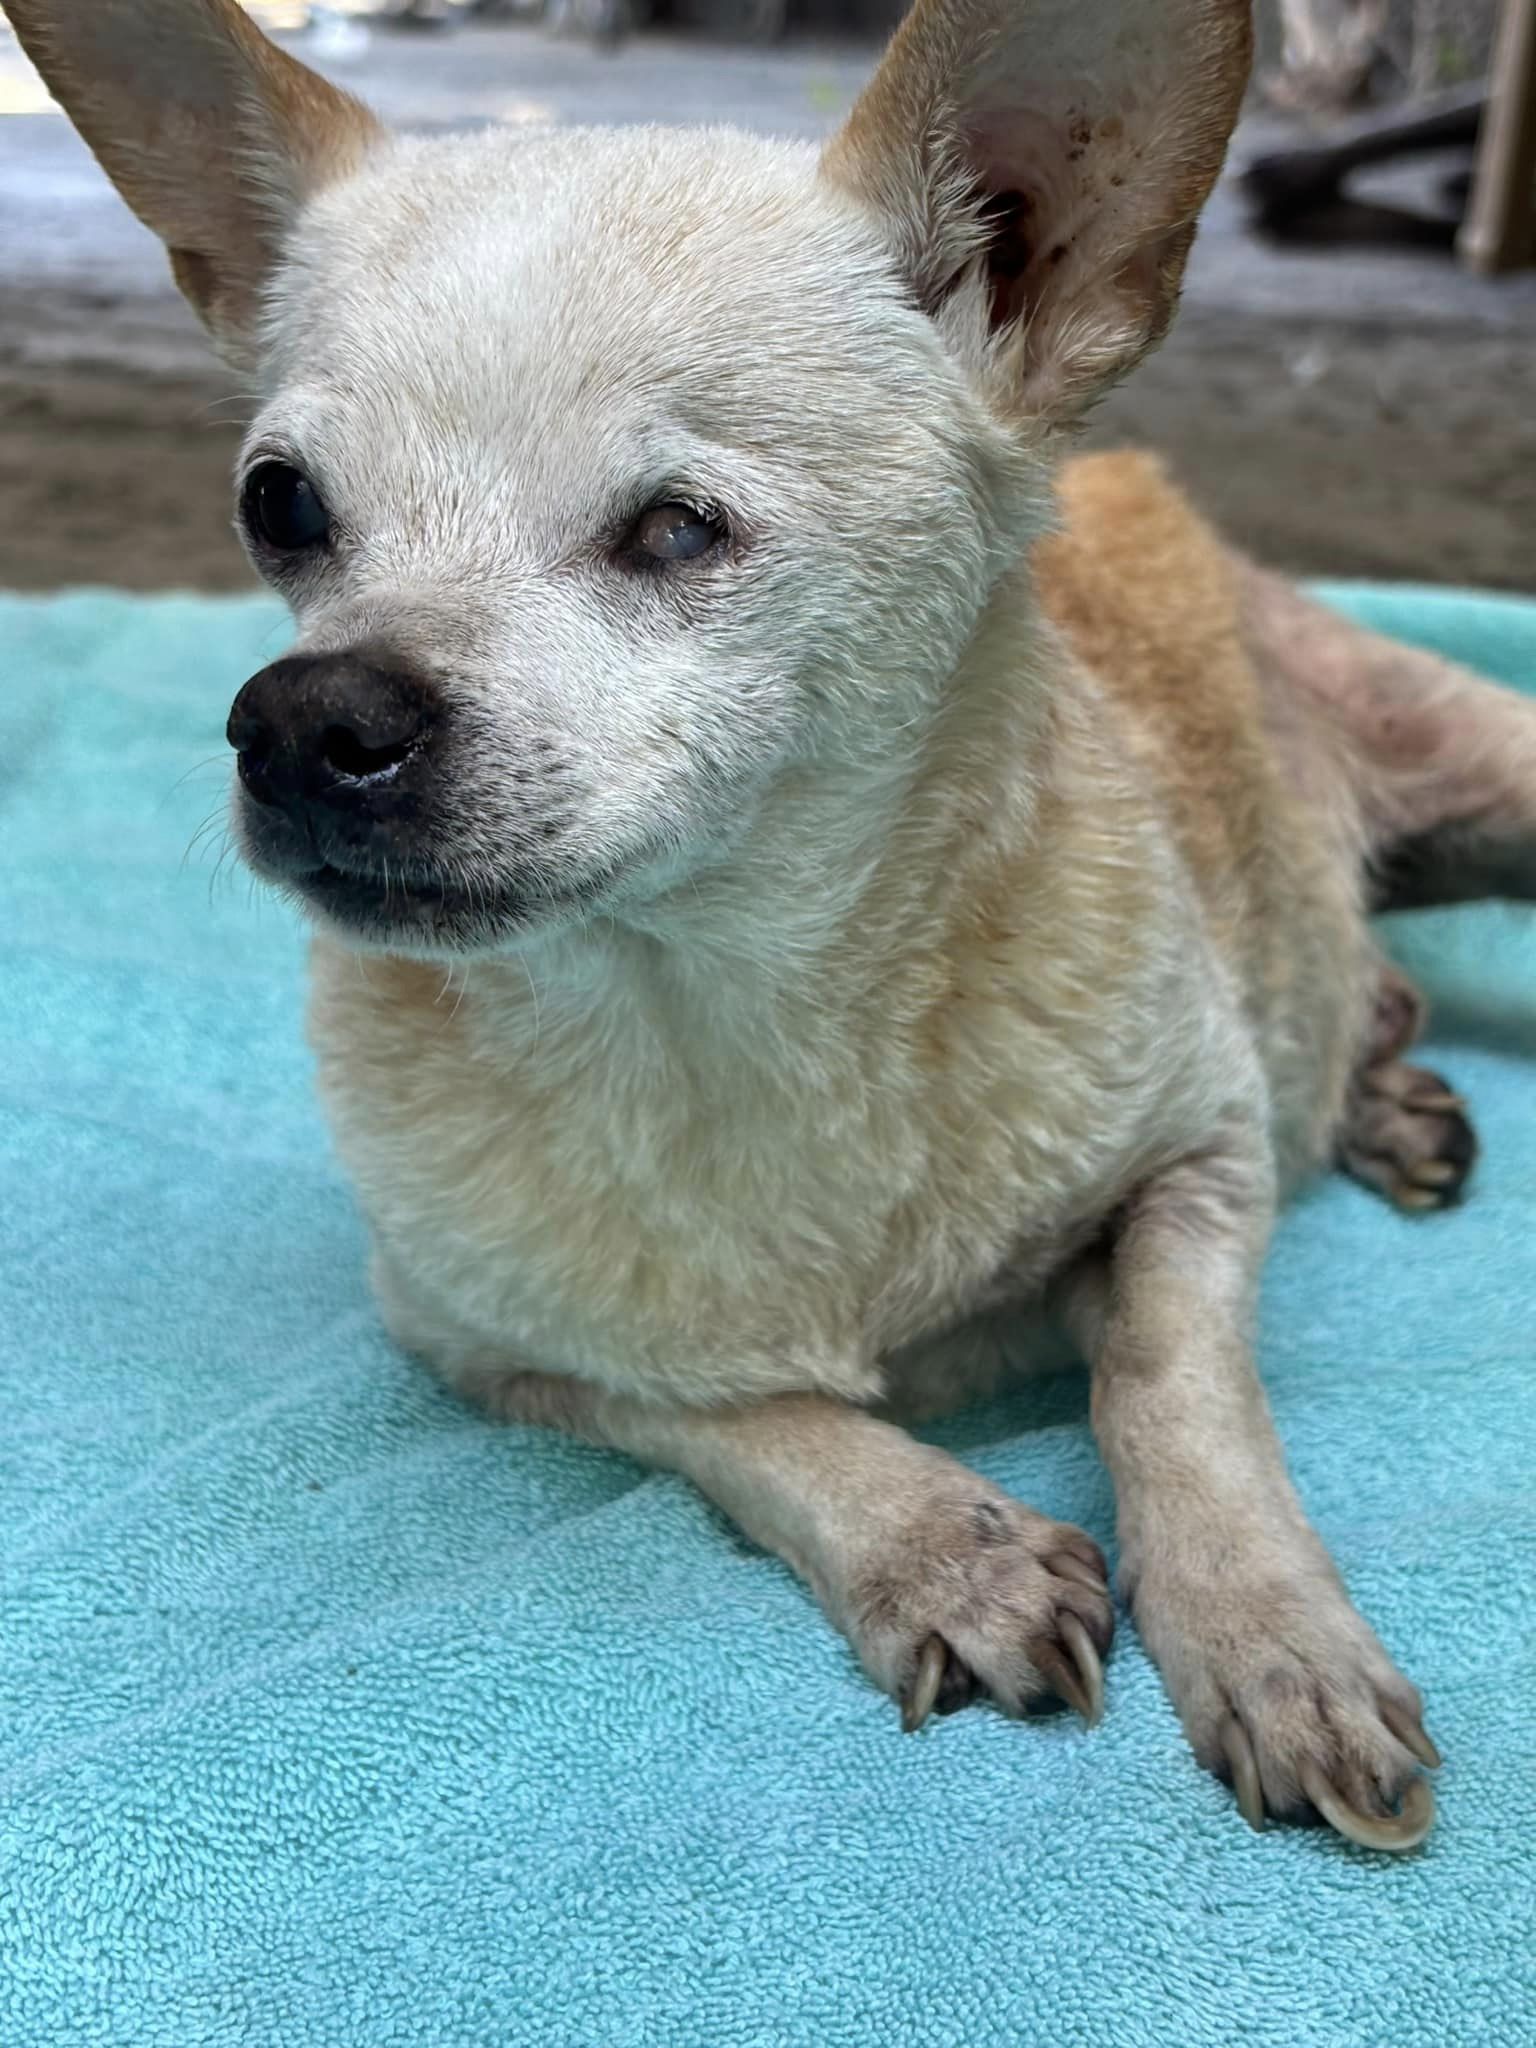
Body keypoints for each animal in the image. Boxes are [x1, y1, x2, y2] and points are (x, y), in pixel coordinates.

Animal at [20, 0, 1536, 1851]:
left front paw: (1268, 1632)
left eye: (678, 526)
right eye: (280, 508)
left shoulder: (1201, 1163)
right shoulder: (472, 1338)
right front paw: (939, 1547)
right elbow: (733, 1409)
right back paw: (1386, 1090)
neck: (719, 1016)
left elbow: (1172, 1380)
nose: (304, 718)